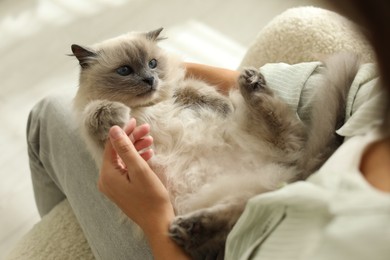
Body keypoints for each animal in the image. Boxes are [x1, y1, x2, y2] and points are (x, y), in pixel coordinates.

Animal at [72, 27, 360, 258]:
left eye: (152, 63)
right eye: (125, 71)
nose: (150, 80)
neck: (148, 107)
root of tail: (292, 176)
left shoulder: (182, 89)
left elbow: (199, 91)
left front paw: (223, 105)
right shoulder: (103, 139)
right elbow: (94, 113)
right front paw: (114, 115)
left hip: (260, 144)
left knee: (287, 137)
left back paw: (251, 84)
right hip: (239, 199)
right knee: (231, 223)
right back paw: (189, 230)